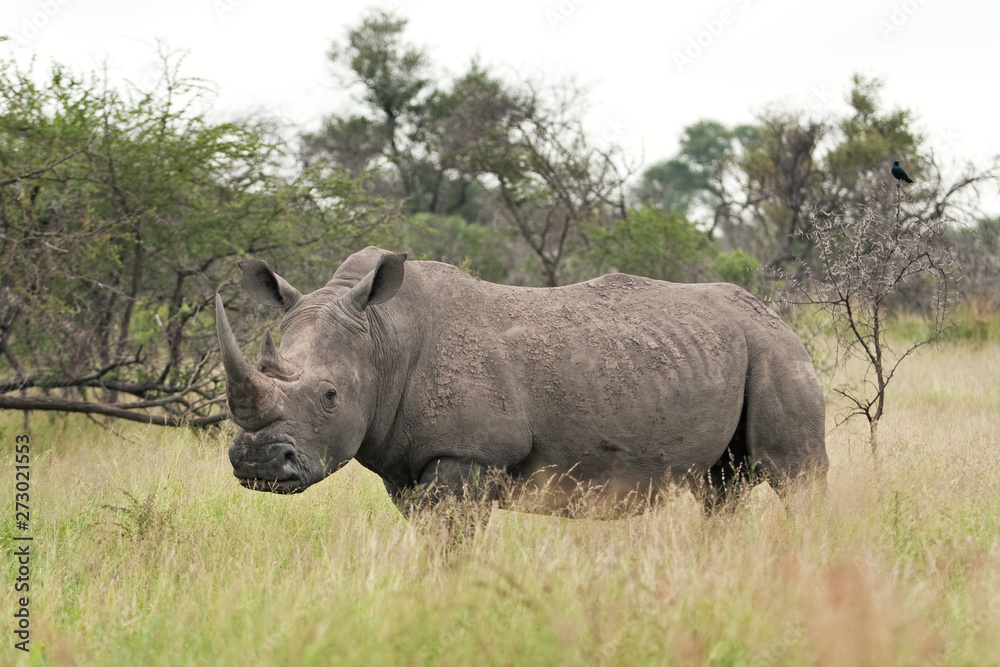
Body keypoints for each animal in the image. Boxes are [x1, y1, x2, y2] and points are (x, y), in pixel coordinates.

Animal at [215, 246, 827, 514]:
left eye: (329, 396)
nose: (256, 463)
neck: (383, 336)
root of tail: (774, 315)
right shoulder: (406, 464)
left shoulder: (468, 455)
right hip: (736, 351)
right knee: (722, 486)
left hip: (776, 352)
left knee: (793, 474)